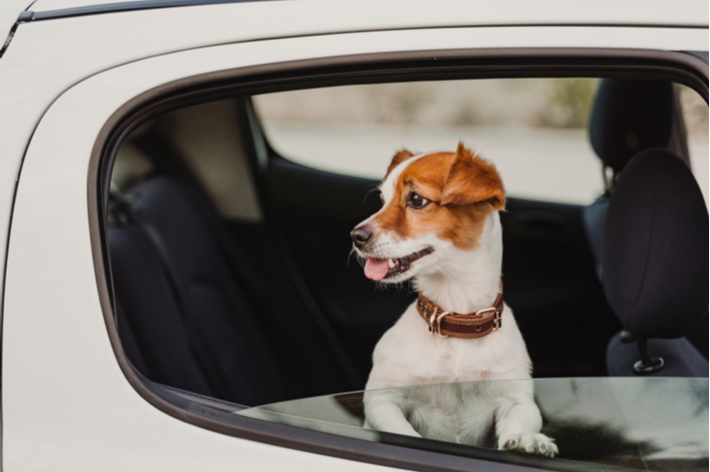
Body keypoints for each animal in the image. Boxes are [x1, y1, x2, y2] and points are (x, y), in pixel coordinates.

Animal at [354, 142, 560, 456]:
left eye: (416, 199)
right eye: (382, 199)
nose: (355, 235)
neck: (457, 319)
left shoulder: (516, 398)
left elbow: (519, 421)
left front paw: (527, 440)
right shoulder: (382, 400)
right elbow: (403, 431)